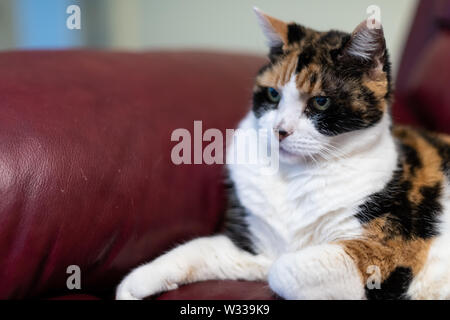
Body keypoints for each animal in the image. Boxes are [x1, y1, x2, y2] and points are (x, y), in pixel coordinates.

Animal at [117, 10, 450, 300]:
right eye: (273, 94)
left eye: (320, 101)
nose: (280, 130)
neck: (293, 179)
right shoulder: (256, 249)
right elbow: (200, 249)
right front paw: (135, 283)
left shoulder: (387, 251)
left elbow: (284, 269)